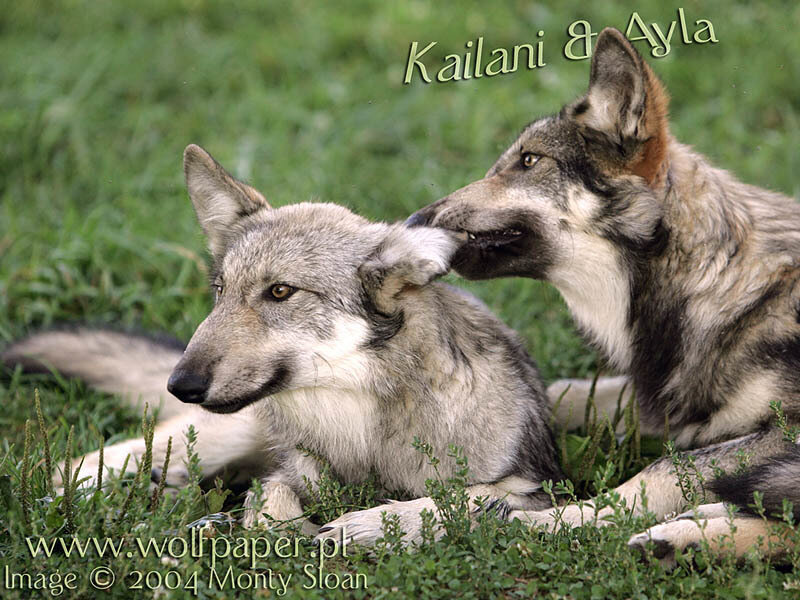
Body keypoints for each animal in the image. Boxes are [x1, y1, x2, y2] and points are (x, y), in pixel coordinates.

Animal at [2, 144, 564, 542]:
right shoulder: (285, 474)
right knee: (71, 469)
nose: (181, 383)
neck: (361, 432)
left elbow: (468, 500)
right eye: (220, 290)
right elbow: (272, 507)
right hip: (201, 444)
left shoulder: (537, 486)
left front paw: (373, 525)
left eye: (279, 292)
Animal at [407, 27, 800, 564]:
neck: (712, 285)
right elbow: (561, 393)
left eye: (528, 161)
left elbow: (659, 472)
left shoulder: (784, 430)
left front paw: (548, 521)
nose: (412, 222)